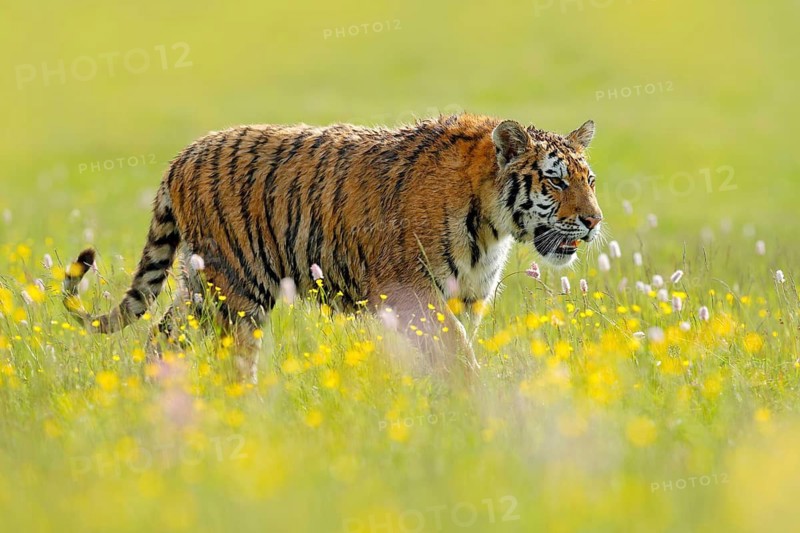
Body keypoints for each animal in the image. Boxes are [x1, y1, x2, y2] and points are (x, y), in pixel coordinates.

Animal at [63, 114, 603, 381]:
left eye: (590, 180)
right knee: (229, 357)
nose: (594, 221)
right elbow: (458, 358)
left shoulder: (465, 299)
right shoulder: (416, 294)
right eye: (556, 181)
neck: (493, 225)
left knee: (162, 335)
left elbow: (447, 357)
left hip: (203, 287)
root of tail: (181, 156)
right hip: (238, 292)